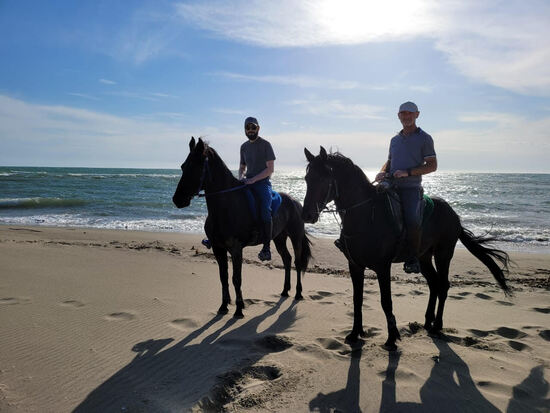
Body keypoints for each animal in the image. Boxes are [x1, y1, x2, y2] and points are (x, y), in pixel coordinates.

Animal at [172, 137, 312, 318]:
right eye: (183, 166)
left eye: (196, 166)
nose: (177, 199)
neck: (226, 207)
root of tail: (295, 202)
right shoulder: (218, 248)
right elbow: (223, 277)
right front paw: (223, 306)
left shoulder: (236, 248)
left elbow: (236, 278)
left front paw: (239, 309)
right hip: (279, 238)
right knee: (287, 260)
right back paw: (284, 291)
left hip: (295, 237)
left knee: (297, 261)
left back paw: (298, 293)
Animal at [302, 146, 511, 350]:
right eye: (307, 178)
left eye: (323, 178)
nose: (307, 215)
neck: (366, 216)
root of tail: (453, 214)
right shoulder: (355, 266)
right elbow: (357, 299)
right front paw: (355, 334)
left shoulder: (382, 267)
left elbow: (386, 302)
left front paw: (391, 339)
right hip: (424, 257)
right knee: (434, 283)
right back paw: (427, 322)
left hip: (443, 254)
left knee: (443, 285)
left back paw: (437, 326)